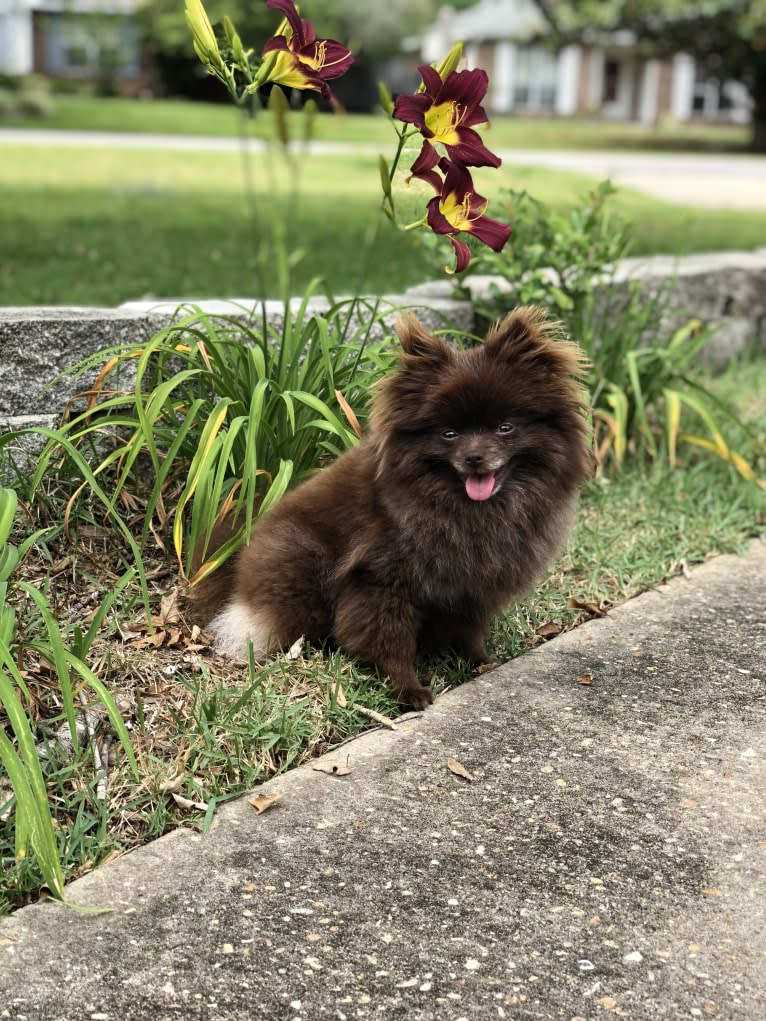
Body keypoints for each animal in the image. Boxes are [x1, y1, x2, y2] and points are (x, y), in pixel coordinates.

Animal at [192, 306, 592, 710]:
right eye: (449, 434)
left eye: (504, 428)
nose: (475, 457)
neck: (467, 510)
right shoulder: (382, 580)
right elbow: (389, 641)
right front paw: (407, 689)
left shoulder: (472, 585)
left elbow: (469, 631)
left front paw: (481, 662)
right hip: (300, 555)